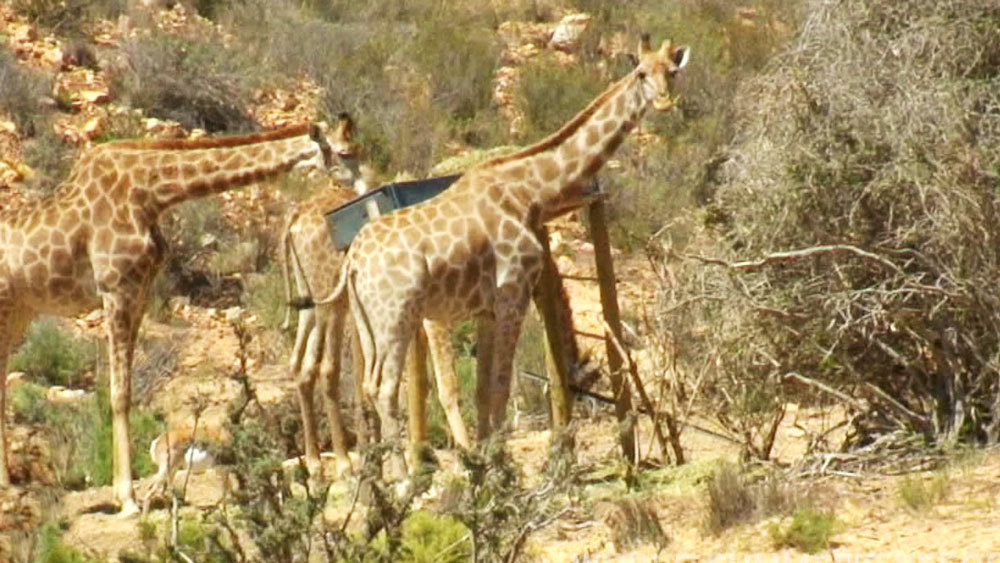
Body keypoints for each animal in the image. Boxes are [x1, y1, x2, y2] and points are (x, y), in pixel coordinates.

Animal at [0, 121, 358, 516]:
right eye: (345, 152)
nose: (358, 186)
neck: (151, 193)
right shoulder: (116, 289)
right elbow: (119, 393)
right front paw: (127, 498)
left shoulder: (139, 292)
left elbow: (126, 391)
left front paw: (125, 493)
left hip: (17, 313)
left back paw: (7, 483)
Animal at [324, 34, 692, 476]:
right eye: (640, 72)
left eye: (671, 72)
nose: (665, 102)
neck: (531, 192)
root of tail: (353, 261)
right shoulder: (513, 293)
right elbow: (500, 386)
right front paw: (499, 470)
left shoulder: (486, 308)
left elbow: (484, 390)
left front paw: (485, 466)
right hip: (394, 316)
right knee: (384, 387)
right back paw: (402, 480)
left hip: (366, 321)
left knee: (368, 387)